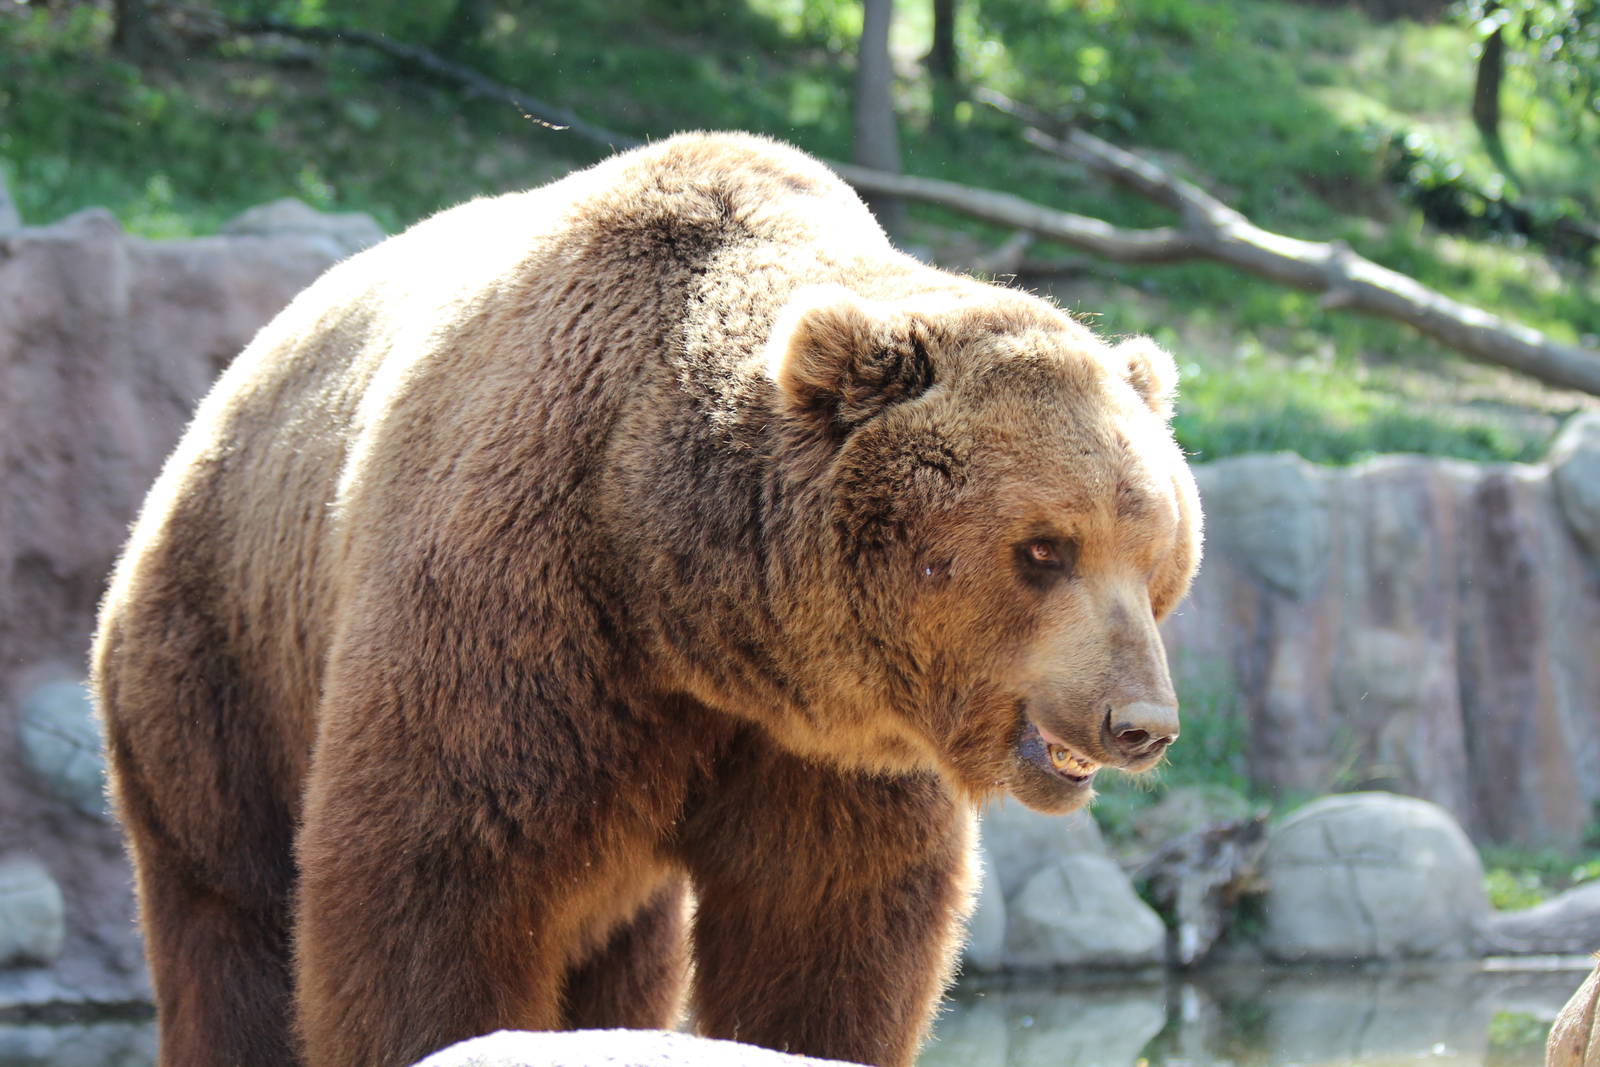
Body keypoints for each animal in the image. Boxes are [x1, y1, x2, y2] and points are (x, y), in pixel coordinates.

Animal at [91, 131, 1201, 1067]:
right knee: (227, 911)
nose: (1138, 721)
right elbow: (428, 880)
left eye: (1158, 561)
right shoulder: (516, 606)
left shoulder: (823, 741)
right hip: (222, 659)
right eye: (1045, 548)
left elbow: (829, 924)